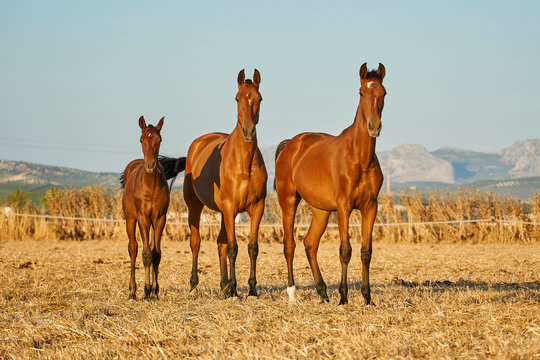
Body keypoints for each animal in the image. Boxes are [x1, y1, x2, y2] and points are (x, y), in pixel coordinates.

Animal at [120, 116, 177, 300]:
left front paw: (155, 291)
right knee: (133, 248)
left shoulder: (160, 219)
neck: (150, 186)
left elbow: (156, 254)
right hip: (131, 219)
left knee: (151, 248)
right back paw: (132, 291)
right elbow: (145, 254)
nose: (151, 165)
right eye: (141, 139)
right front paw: (145, 291)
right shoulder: (143, 218)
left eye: (160, 140)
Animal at [161, 69, 268, 296]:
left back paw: (224, 285)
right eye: (237, 98)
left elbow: (252, 247)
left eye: (260, 98)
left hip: (223, 213)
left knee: (220, 243)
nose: (248, 132)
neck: (244, 164)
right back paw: (194, 284)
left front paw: (251, 289)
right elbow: (234, 247)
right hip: (195, 206)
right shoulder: (229, 208)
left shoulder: (256, 208)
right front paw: (235, 289)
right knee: (196, 242)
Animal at [276, 63, 386, 306]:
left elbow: (366, 251)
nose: (374, 126)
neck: (359, 158)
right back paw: (292, 294)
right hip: (288, 201)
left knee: (310, 243)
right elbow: (345, 250)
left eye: (384, 93)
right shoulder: (344, 207)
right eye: (361, 92)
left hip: (321, 211)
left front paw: (367, 297)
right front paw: (343, 297)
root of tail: (290, 145)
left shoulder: (370, 207)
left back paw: (322, 291)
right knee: (290, 245)